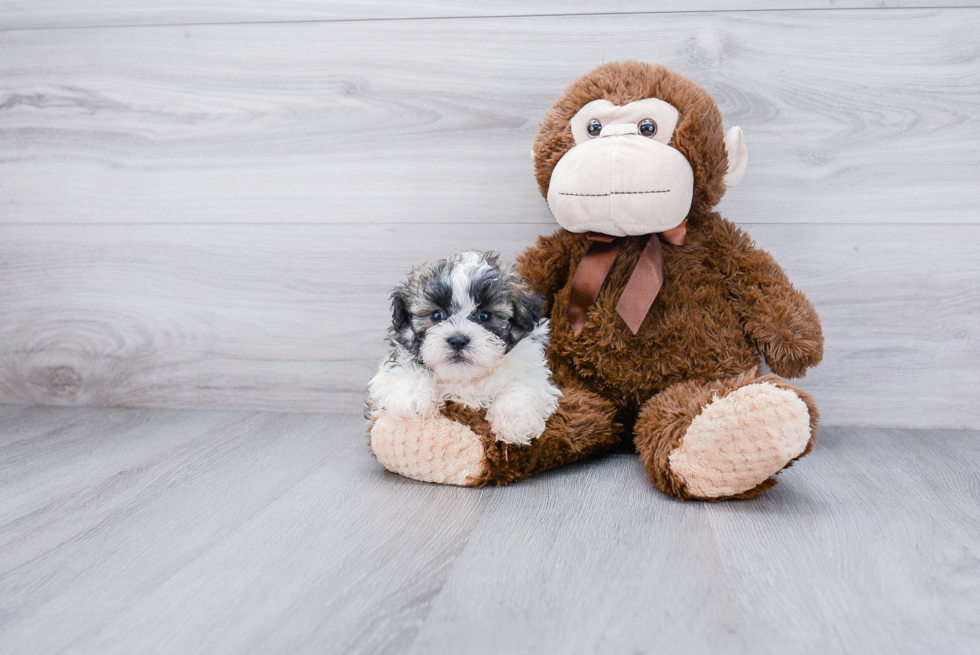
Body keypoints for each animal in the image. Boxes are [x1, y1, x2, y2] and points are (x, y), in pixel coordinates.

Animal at [368, 251, 564, 446]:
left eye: (485, 316)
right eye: (437, 315)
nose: (458, 341)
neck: (465, 378)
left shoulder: (530, 367)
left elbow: (522, 386)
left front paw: (515, 421)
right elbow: (404, 368)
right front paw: (411, 398)